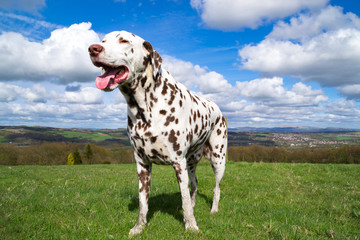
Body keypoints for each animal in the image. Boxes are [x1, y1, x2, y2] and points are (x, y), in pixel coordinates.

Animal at [88, 31, 226, 235]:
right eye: (103, 40)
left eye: (124, 40)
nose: (93, 48)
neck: (144, 107)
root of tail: (218, 109)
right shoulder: (142, 165)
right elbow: (143, 203)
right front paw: (139, 227)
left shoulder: (178, 163)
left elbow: (184, 200)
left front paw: (191, 226)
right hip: (191, 163)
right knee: (194, 184)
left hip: (217, 160)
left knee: (216, 188)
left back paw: (214, 210)